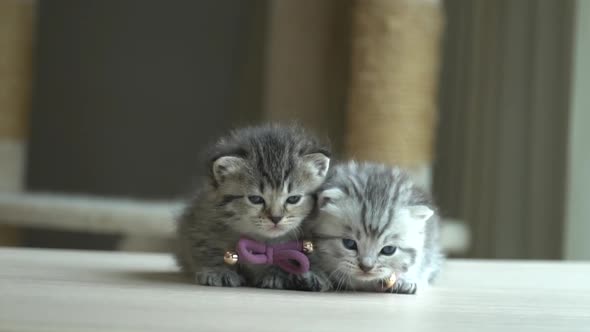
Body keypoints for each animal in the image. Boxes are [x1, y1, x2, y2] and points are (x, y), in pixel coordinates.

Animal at [176, 124, 332, 288]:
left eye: (293, 199)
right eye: (256, 199)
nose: (276, 218)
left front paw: (279, 274)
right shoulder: (203, 217)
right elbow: (207, 246)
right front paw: (218, 270)